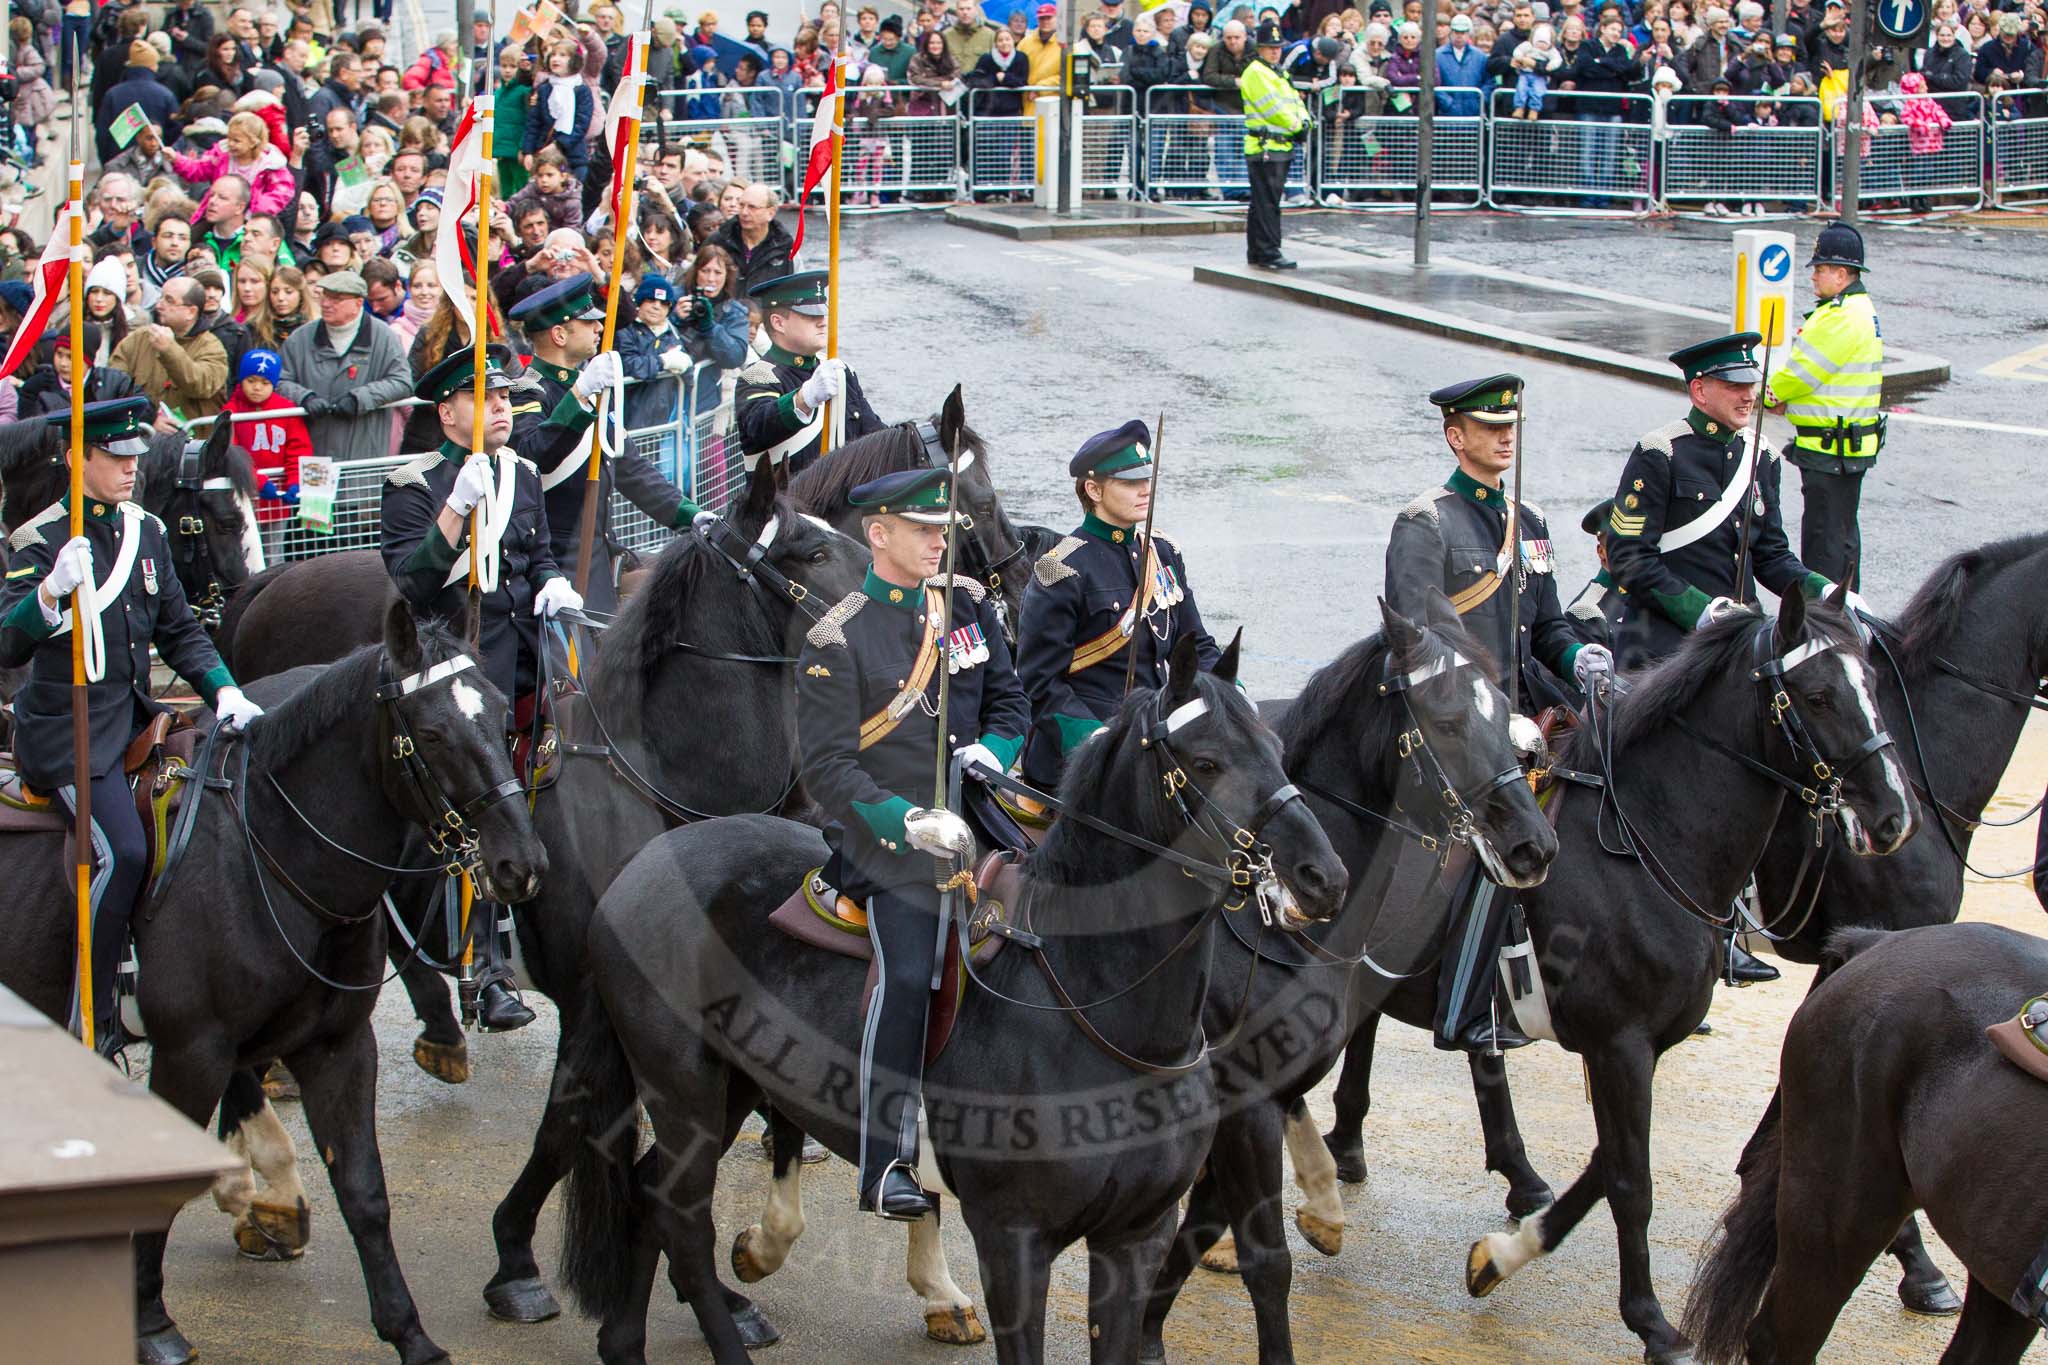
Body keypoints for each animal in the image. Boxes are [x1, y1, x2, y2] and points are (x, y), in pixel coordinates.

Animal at [0, 601, 548, 1365]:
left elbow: (364, 1189)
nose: (520, 864)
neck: (271, 852)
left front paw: (409, 1332)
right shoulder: (191, 1051)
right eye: (432, 732)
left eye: (502, 715)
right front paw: (152, 1324)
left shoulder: (337, 1046)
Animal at [561, 642, 1351, 1365]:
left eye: (1278, 749)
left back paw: (623, 1343)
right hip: (684, 1091)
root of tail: (642, 865)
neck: (1102, 1016)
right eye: (1208, 761)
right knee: (682, 1220)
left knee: (648, 1195)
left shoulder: (1136, 1234)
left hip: (731, 1088)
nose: (1322, 877)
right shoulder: (1014, 1239)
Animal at [1138, 593, 1548, 1365]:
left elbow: (1195, 1231)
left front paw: (1145, 1333)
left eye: (1505, 707)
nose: (1533, 845)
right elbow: (1259, 1255)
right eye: (1449, 721)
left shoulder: (1249, 1108)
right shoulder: (1245, 1107)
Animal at [1441, 593, 1916, 1365]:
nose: (1895, 815)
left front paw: (1503, 1256)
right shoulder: (1620, 1045)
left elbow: (1605, 1165)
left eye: (1872, 683)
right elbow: (1631, 1182)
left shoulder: (1643, 1047)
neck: (1645, 843)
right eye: (1817, 695)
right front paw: (1653, 1323)